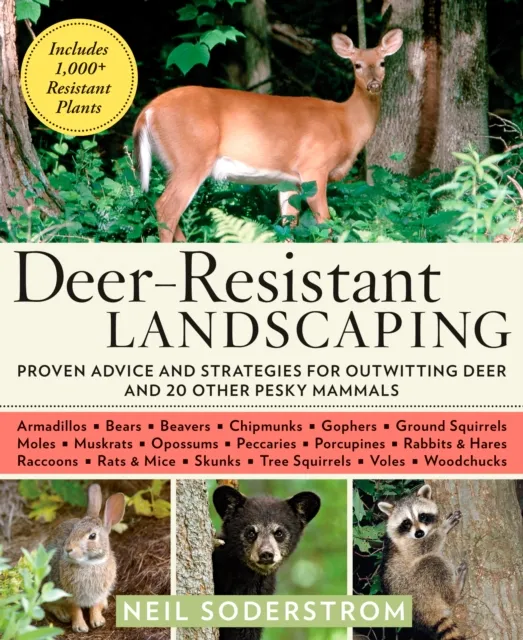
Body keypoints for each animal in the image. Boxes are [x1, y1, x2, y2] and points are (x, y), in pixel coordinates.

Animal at [133, 29, 403, 242]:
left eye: (382, 63)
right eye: (357, 65)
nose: (374, 84)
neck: (345, 122)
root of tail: (148, 110)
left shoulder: (289, 179)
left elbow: (289, 226)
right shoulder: (314, 166)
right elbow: (325, 224)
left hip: (176, 162)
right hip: (191, 158)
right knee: (166, 208)